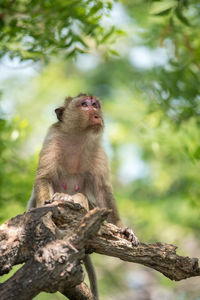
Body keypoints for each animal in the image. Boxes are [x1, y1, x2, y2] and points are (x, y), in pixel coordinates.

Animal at [27, 94, 138, 300]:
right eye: (84, 104)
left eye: (95, 104)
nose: (95, 114)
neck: (78, 137)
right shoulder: (52, 139)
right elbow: (44, 178)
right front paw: (47, 207)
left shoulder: (98, 148)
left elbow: (103, 191)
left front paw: (123, 229)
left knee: (82, 197)